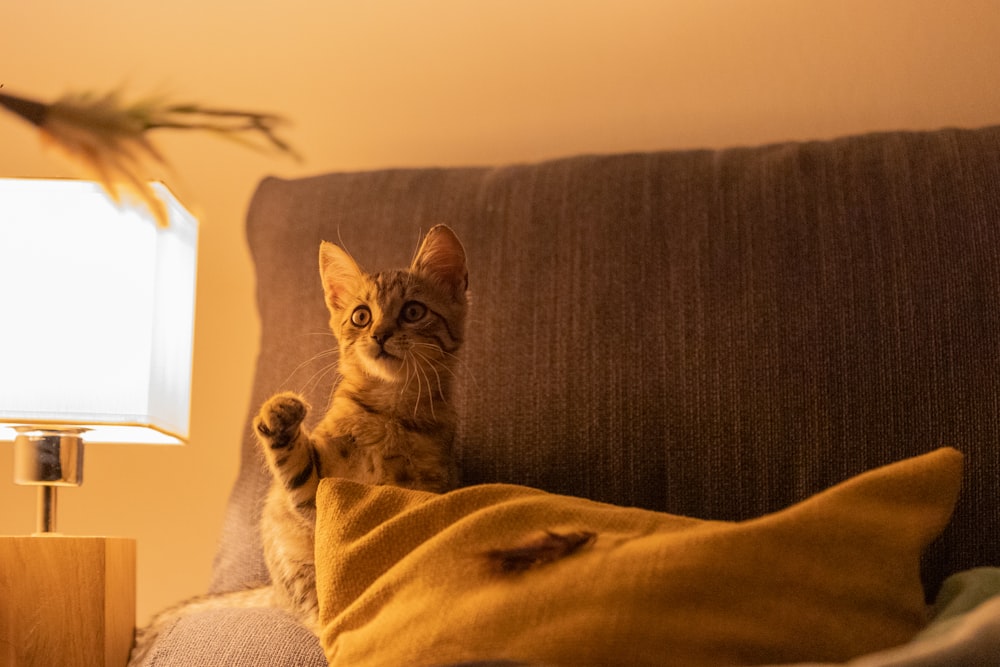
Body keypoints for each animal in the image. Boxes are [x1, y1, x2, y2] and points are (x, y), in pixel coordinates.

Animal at [129, 224, 468, 664]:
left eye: (413, 311)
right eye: (361, 316)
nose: (379, 335)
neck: (388, 411)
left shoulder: (430, 485)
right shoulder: (315, 497)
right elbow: (297, 468)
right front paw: (280, 415)